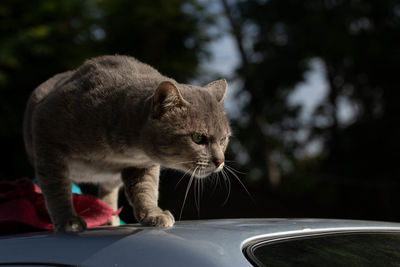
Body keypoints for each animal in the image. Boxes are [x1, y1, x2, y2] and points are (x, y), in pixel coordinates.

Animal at [24, 55, 231, 232]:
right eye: (198, 138)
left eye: (223, 139)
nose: (220, 161)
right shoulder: (47, 134)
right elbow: (58, 188)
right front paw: (68, 220)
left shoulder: (142, 164)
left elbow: (146, 189)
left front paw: (153, 214)